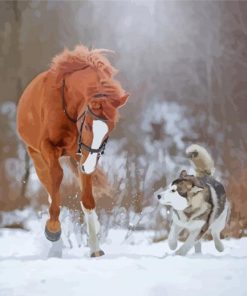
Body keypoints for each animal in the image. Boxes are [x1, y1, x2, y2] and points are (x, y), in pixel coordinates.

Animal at [16, 45, 129, 256]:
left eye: (110, 129)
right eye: (88, 126)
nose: (89, 166)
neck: (68, 105)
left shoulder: (82, 155)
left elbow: (88, 199)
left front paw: (95, 248)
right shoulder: (48, 148)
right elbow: (57, 178)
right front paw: (53, 229)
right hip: (36, 157)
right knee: (50, 187)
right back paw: (55, 244)